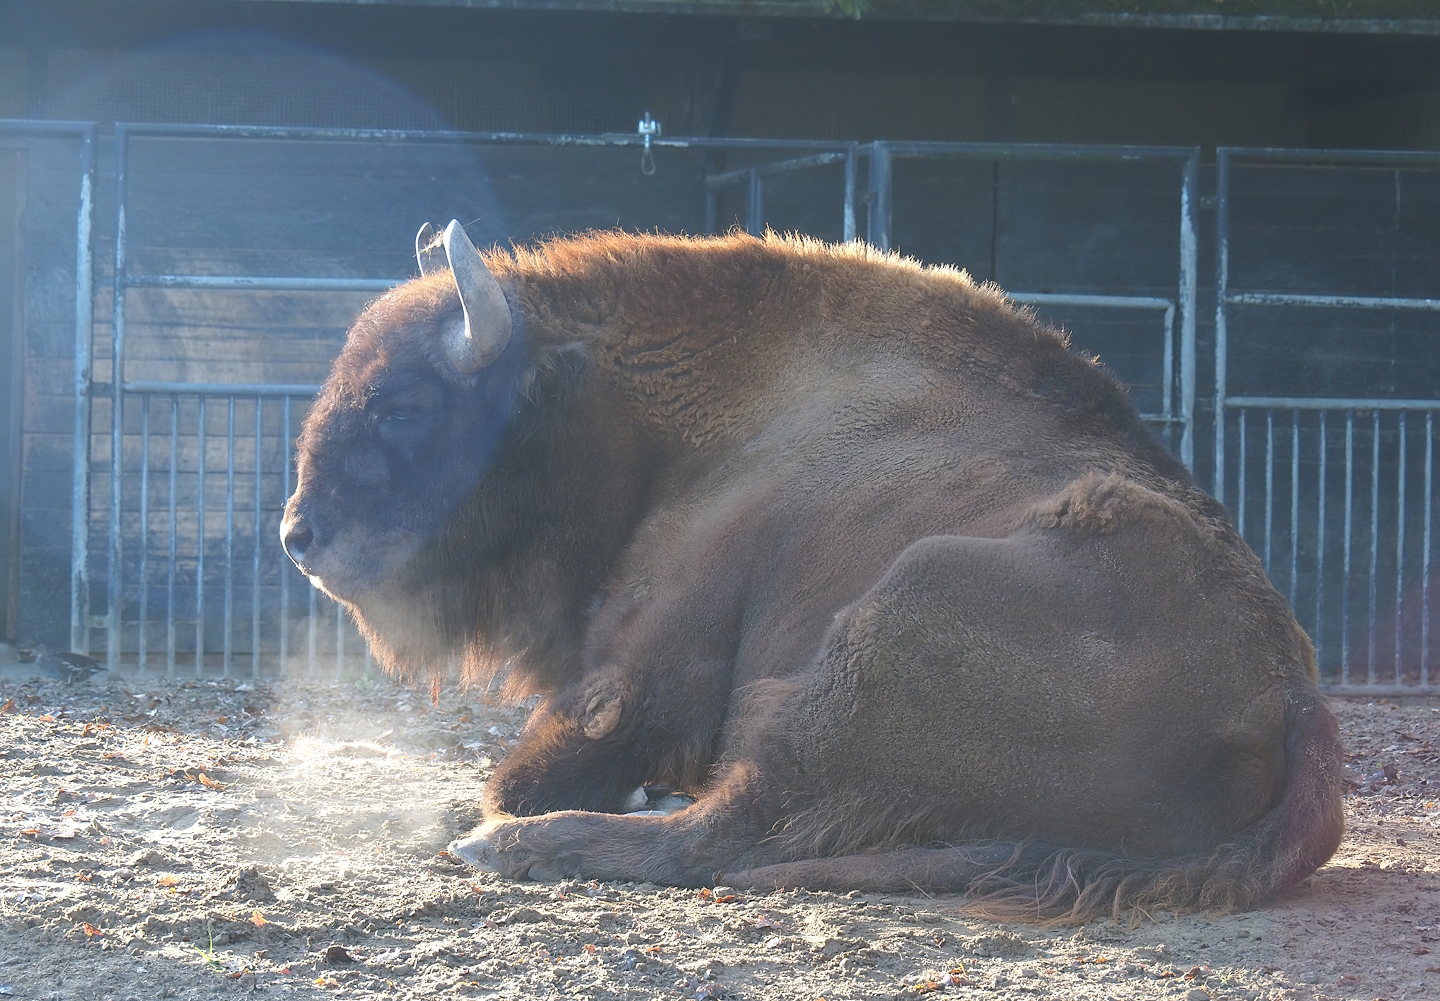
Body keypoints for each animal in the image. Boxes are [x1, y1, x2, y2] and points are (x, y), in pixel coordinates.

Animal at [280, 221, 1343, 921]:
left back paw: (512, 847)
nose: (299, 536)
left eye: (405, 404)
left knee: (726, 832)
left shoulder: (640, 680)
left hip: (896, 613)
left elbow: (525, 770)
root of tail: (1296, 700)